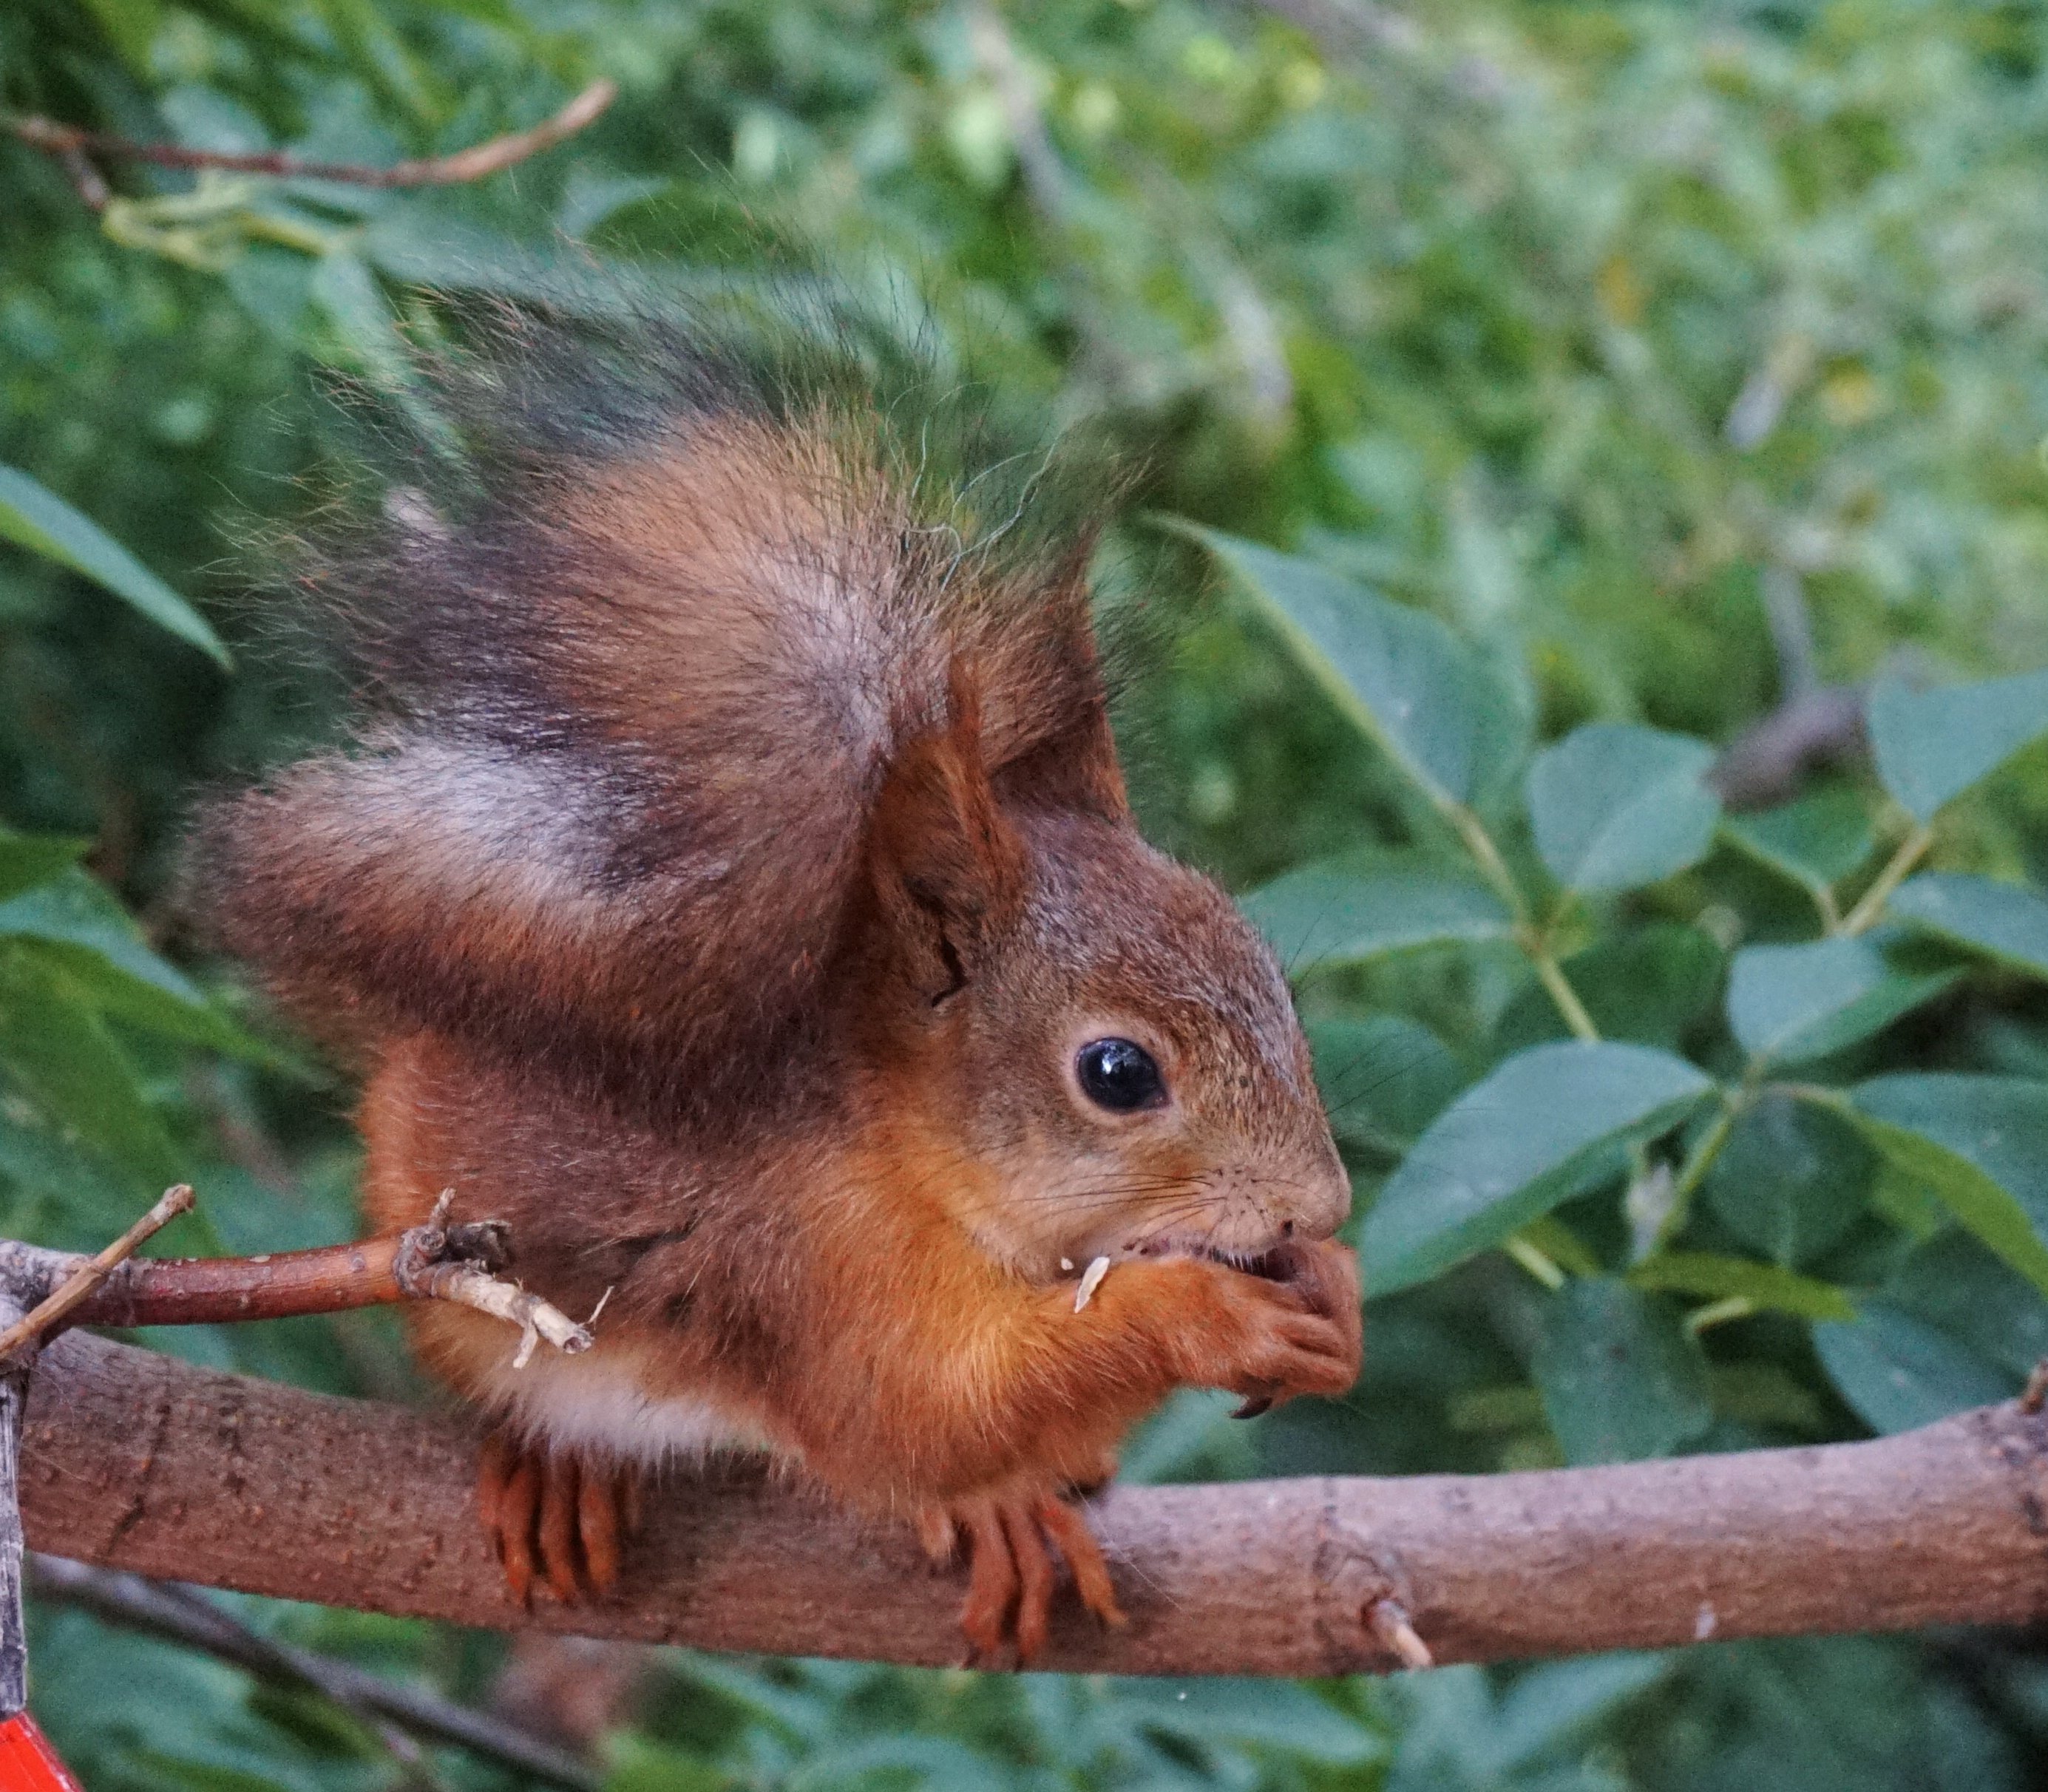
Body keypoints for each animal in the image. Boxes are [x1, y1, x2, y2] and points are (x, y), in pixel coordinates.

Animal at [203, 311, 1360, 1671]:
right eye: (1118, 1073)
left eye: (1269, 976)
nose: (1319, 1204)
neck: (902, 1151)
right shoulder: (806, 1262)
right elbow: (920, 1413)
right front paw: (1203, 1312)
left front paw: (1333, 1293)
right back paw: (555, 1467)